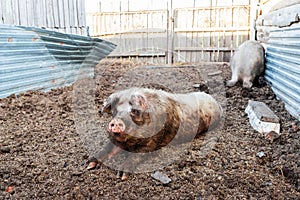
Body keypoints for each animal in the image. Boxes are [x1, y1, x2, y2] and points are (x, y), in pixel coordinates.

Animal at [87, 87, 223, 180]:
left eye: (134, 111)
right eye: (115, 111)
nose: (116, 121)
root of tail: (216, 102)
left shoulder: (153, 142)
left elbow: (135, 156)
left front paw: (121, 175)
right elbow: (106, 149)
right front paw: (88, 164)